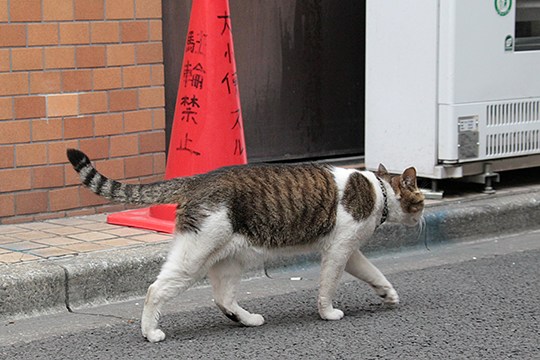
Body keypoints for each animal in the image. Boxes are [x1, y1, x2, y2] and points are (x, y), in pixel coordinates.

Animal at [65, 149, 424, 344]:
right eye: (420, 199)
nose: (423, 216)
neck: (378, 190)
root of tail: (199, 179)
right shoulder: (337, 251)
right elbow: (326, 287)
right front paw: (327, 313)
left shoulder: (349, 251)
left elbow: (373, 272)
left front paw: (388, 294)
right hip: (194, 256)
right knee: (156, 289)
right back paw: (150, 332)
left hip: (229, 259)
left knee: (223, 298)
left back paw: (247, 319)